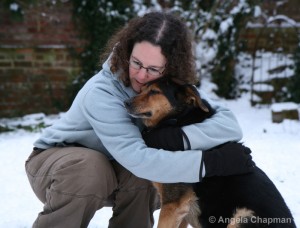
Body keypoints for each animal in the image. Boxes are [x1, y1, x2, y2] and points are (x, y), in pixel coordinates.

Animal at [124, 77, 296, 227]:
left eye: (154, 91)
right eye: (141, 89)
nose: (125, 102)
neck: (176, 120)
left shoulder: (173, 205)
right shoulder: (183, 212)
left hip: (242, 217)